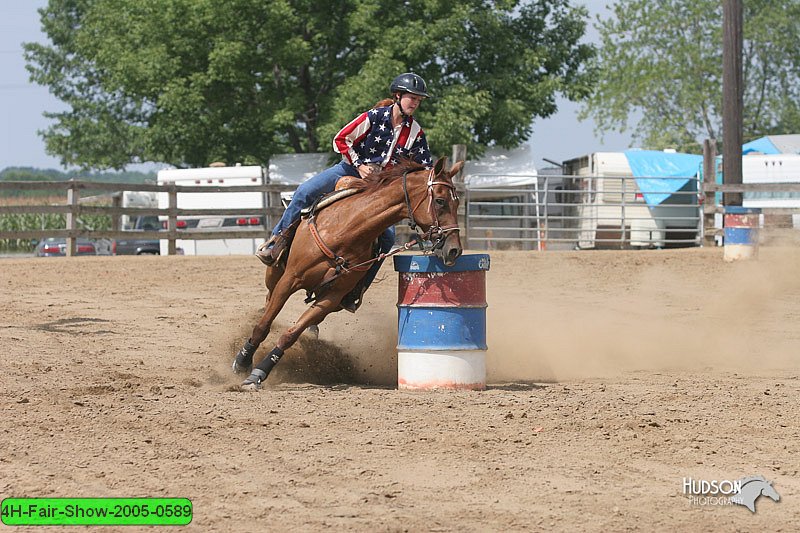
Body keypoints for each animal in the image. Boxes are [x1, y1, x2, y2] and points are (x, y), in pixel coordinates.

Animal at [230, 156, 462, 388]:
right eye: (440, 201)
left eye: (457, 202)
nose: (454, 250)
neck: (346, 231)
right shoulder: (290, 279)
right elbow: (263, 325)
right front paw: (243, 361)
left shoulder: (332, 297)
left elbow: (291, 334)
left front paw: (260, 371)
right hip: (274, 274)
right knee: (269, 299)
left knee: (308, 321)